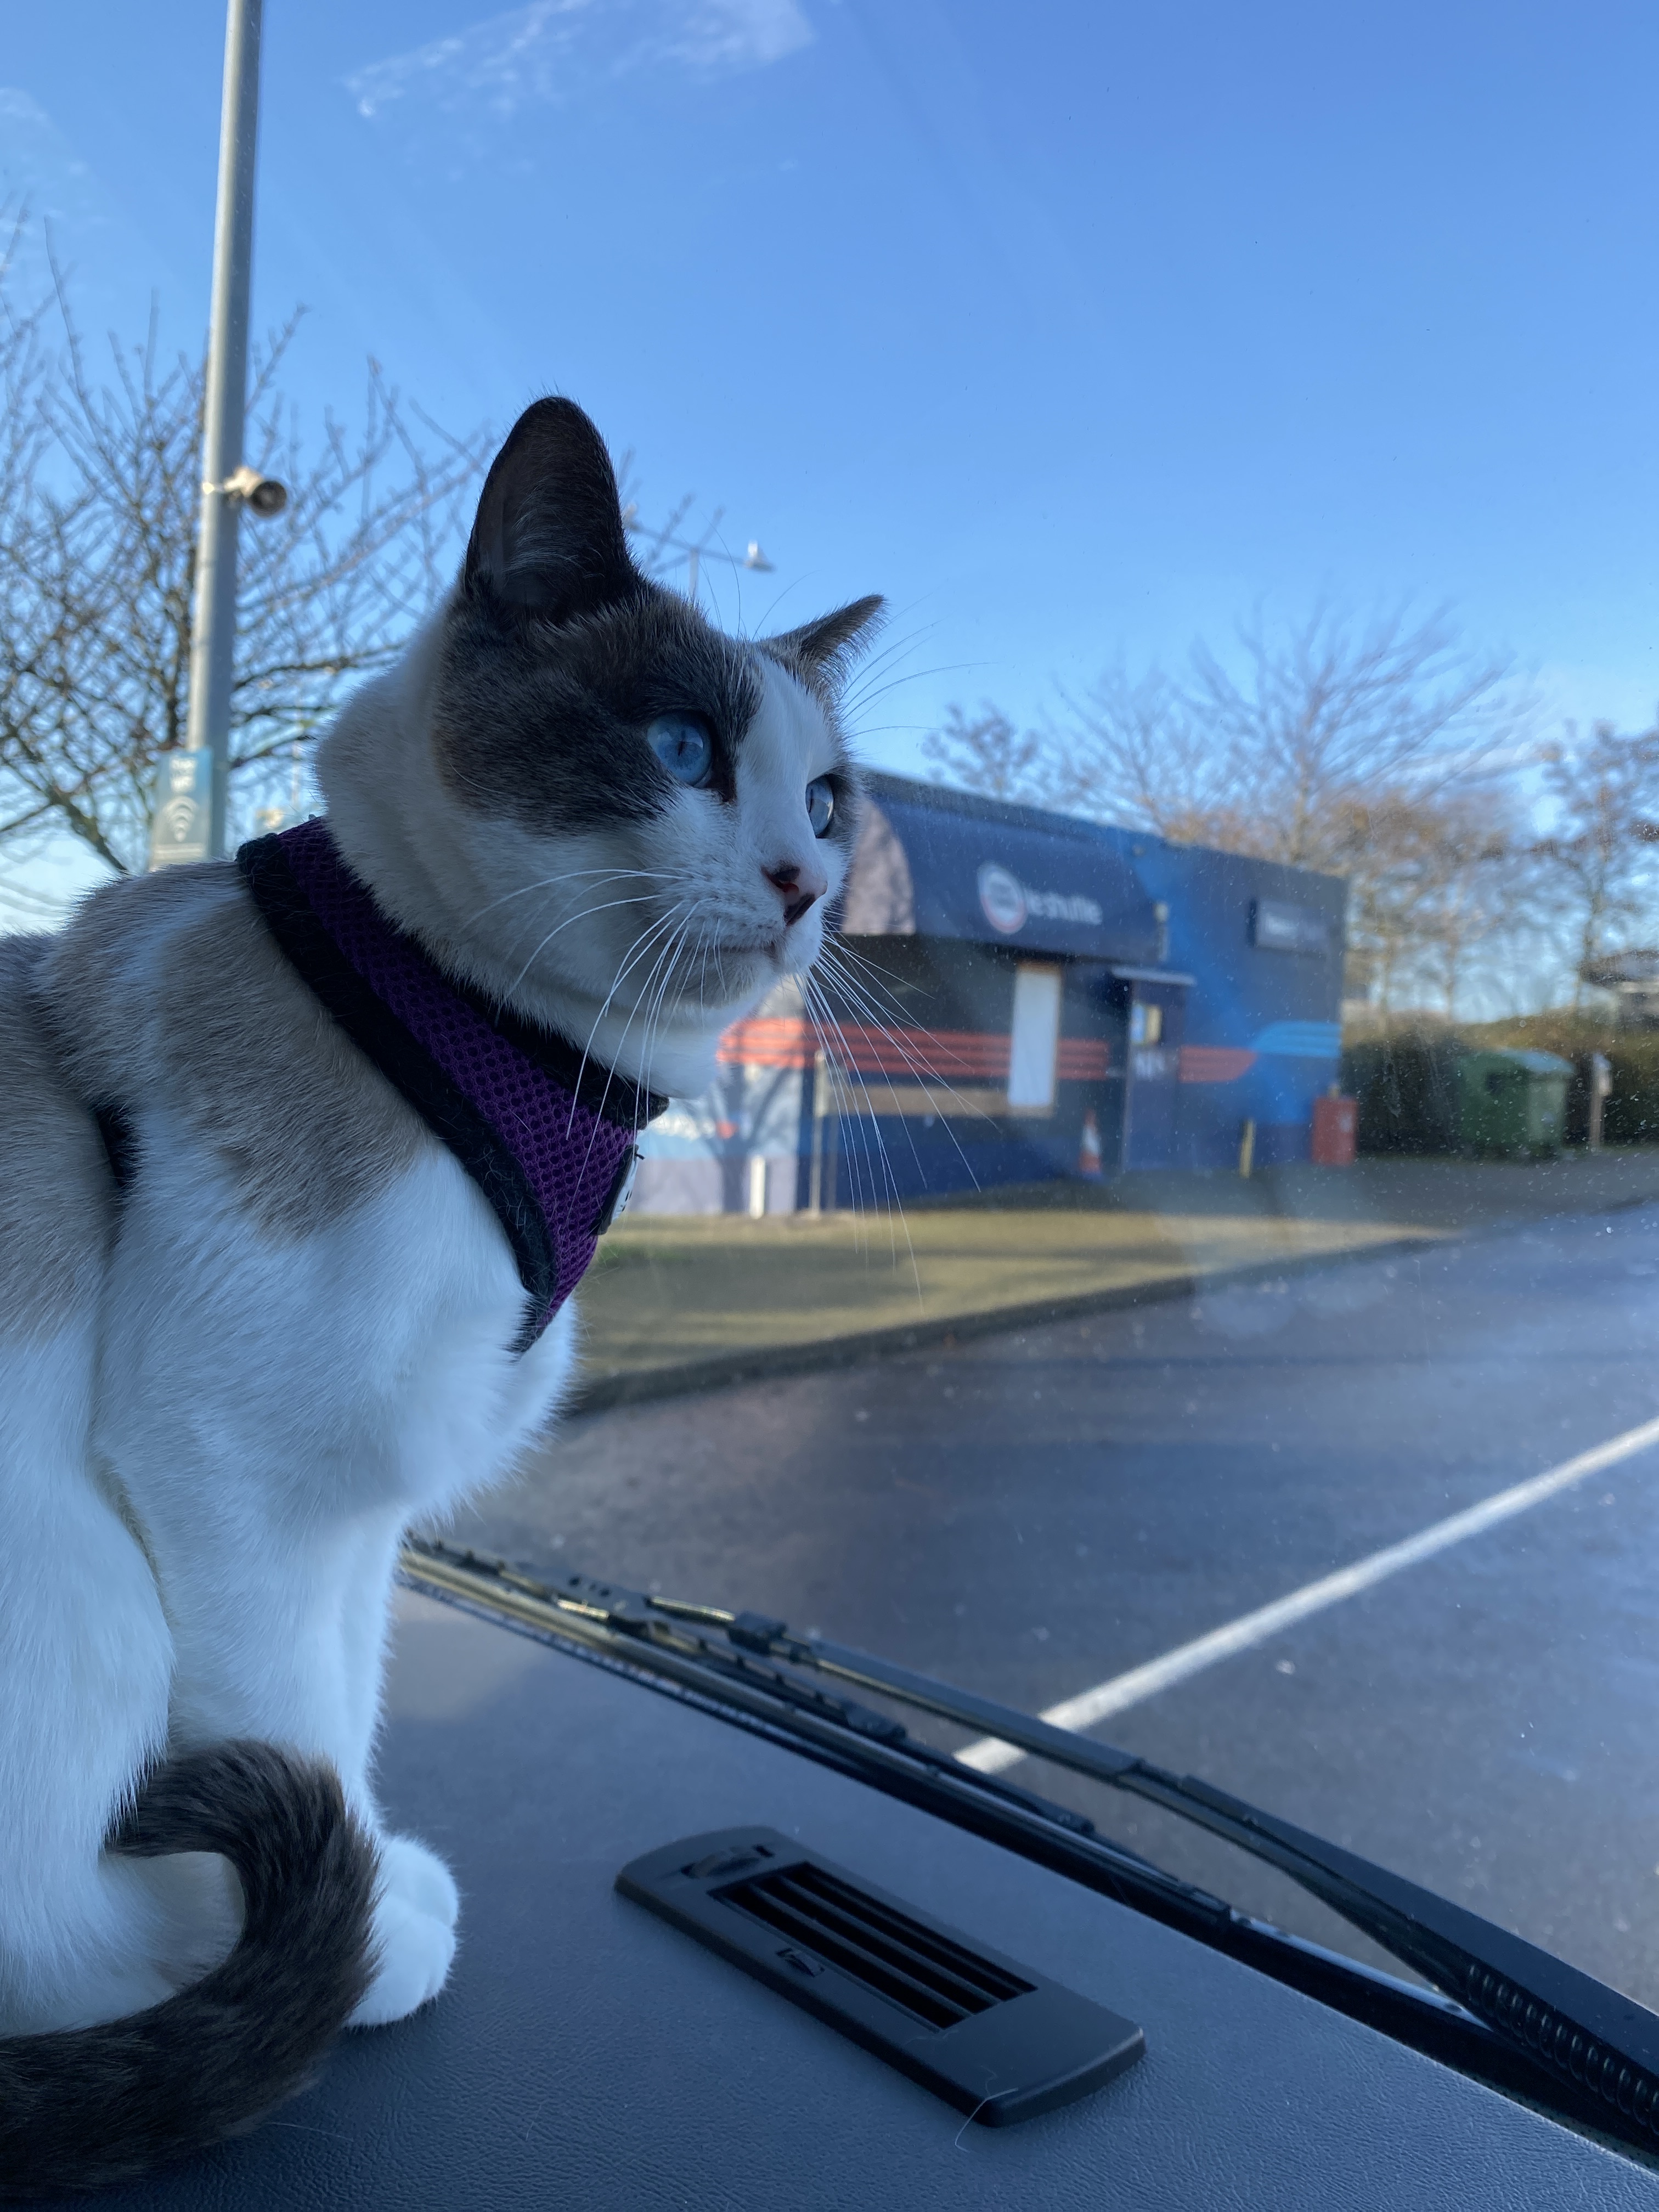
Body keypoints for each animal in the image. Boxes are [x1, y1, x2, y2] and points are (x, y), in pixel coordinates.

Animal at [0, 395, 882, 2192]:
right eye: (680, 751)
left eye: (828, 798)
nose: (802, 885)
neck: (507, 1049)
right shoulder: (227, 1467)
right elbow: (284, 1729)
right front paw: (335, 1958)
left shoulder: (357, 1506)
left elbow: (344, 1716)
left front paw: (370, 1894)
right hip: (73, 1586)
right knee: (57, 1935)